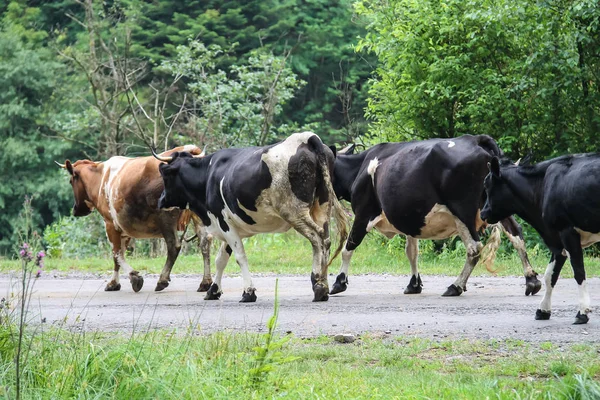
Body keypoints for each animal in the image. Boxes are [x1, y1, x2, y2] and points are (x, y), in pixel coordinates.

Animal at [54, 145, 213, 292]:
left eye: (71, 181)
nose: (76, 210)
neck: (100, 177)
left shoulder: (110, 223)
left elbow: (116, 253)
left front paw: (134, 277)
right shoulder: (124, 228)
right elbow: (120, 255)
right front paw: (114, 283)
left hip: (166, 216)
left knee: (174, 245)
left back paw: (162, 280)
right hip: (199, 216)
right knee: (205, 242)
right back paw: (205, 282)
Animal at [152, 133, 350, 302]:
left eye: (165, 176)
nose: (160, 200)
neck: (208, 175)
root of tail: (307, 138)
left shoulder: (224, 222)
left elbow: (240, 256)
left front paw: (248, 292)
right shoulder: (230, 225)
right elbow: (221, 259)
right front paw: (213, 290)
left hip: (294, 212)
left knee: (317, 238)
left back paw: (319, 286)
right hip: (322, 207)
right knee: (326, 240)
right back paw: (323, 285)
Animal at [328, 134, 544, 296]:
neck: (360, 167)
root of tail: (475, 139)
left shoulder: (364, 213)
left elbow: (349, 247)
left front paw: (339, 282)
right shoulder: (410, 219)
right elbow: (412, 252)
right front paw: (414, 284)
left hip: (462, 210)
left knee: (474, 247)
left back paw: (456, 286)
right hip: (496, 206)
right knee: (516, 234)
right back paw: (532, 280)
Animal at [482, 155, 600, 324]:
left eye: (487, 185)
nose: (482, 213)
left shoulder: (567, 231)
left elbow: (578, 272)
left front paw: (583, 312)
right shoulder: (557, 240)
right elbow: (550, 276)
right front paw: (543, 310)